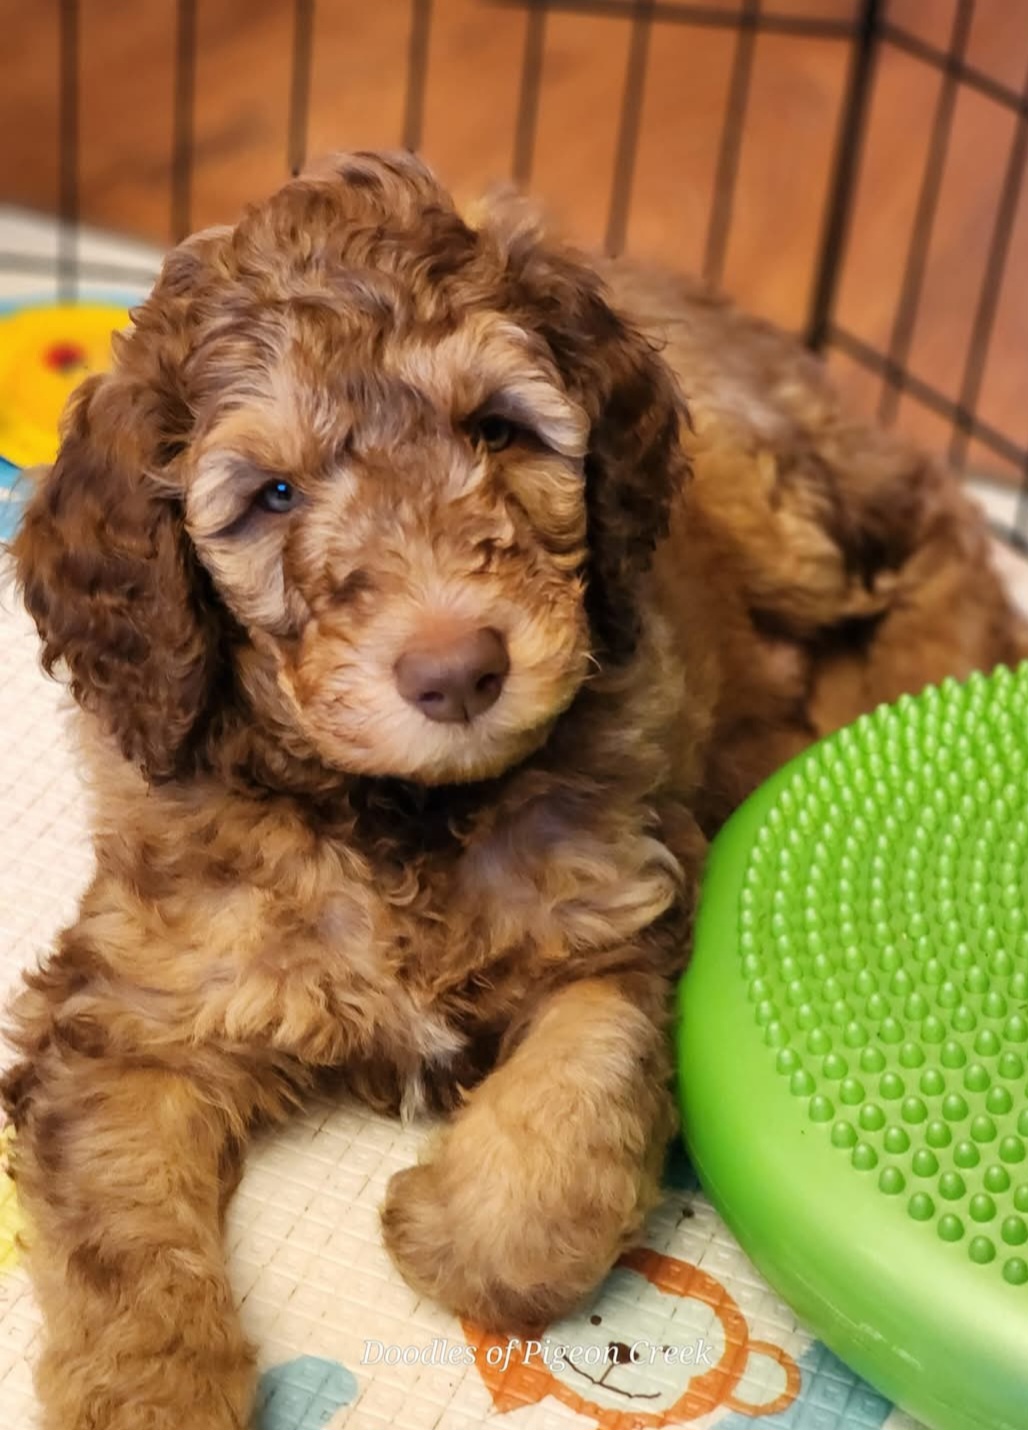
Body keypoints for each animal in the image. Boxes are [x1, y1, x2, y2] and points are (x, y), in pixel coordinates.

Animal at [3, 151, 1024, 1430]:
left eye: (496, 429)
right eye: (273, 495)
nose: (456, 669)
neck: (403, 814)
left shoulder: (623, 914)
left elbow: (561, 1138)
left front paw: (444, 1228)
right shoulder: (128, 1014)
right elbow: (122, 1235)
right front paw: (151, 1387)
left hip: (775, 495)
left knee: (931, 526)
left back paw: (895, 683)